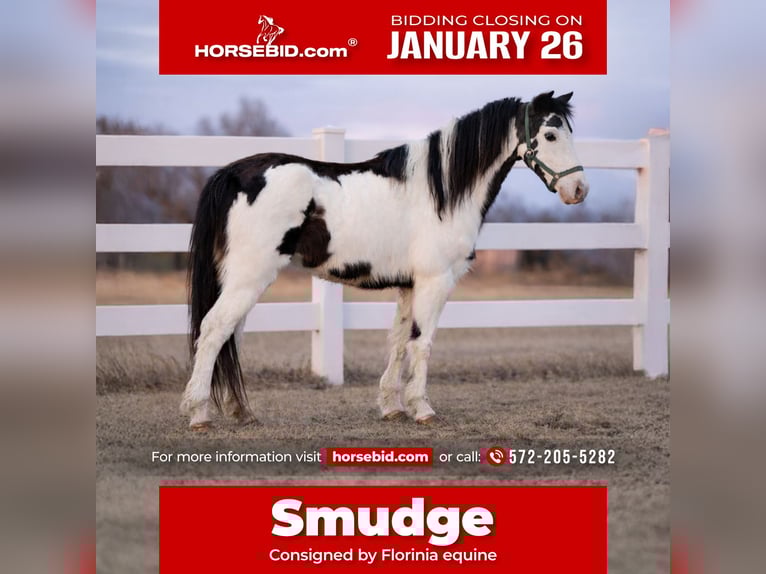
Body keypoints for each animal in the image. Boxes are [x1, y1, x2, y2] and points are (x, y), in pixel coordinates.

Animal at [180, 91, 589, 429]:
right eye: (550, 136)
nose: (579, 190)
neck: (440, 193)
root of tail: (231, 174)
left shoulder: (408, 285)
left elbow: (399, 341)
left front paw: (392, 407)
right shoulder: (435, 282)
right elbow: (423, 344)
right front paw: (423, 409)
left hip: (239, 279)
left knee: (229, 336)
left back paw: (240, 412)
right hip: (249, 277)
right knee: (214, 329)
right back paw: (199, 414)